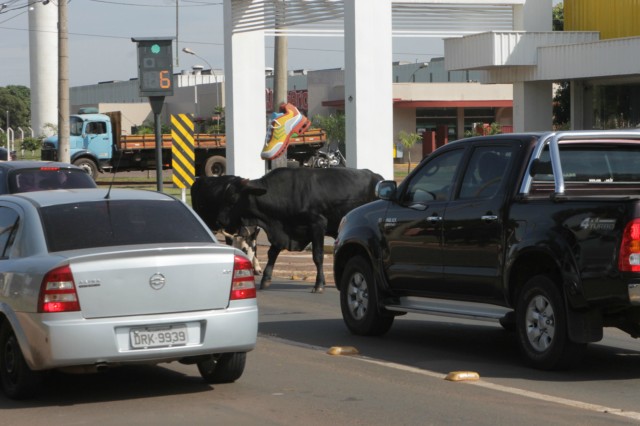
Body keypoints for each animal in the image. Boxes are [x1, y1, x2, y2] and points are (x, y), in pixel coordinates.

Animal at [208, 166, 382, 292]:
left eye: (232, 198)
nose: (219, 220)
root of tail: (377, 176)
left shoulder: (318, 225)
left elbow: (317, 256)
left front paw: (319, 284)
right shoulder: (282, 232)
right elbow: (272, 253)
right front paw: (265, 280)